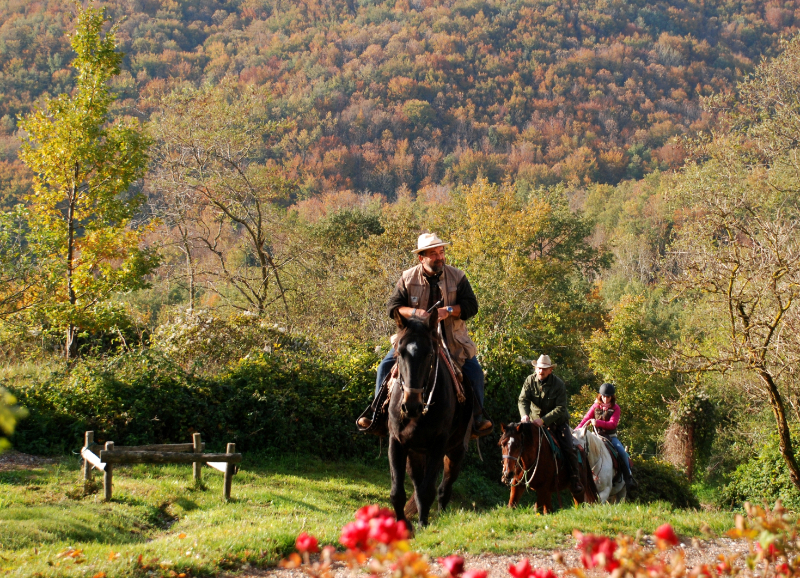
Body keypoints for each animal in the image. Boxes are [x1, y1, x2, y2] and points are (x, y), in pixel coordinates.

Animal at [390, 310, 472, 532]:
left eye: (429, 354)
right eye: (400, 353)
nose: (411, 406)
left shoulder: (438, 444)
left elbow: (428, 490)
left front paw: (423, 523)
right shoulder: (397, 442)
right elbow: (398, 493)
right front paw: (402, 526)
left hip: (455, 451)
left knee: (444, 487)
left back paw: (441, 514)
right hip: (415, 454)